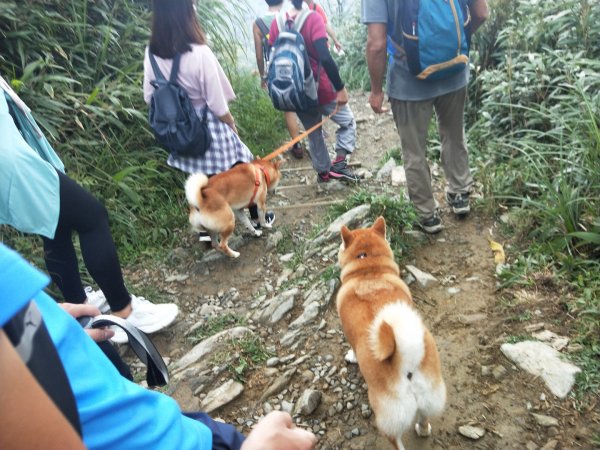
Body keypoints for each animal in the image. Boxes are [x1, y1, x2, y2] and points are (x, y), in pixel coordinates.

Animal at [338, 216, 446, 448]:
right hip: (429, 396)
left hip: (387, 419)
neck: (368, 269)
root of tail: (405, 362)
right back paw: (423, 429)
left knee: (396, 441)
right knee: (424, 417)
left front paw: (351, 356)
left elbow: (351, 349)